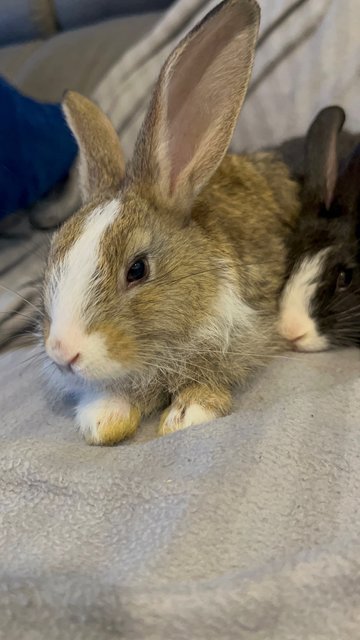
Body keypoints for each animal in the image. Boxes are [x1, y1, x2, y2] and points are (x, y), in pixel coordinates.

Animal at [41, 0, 298, 444]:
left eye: (138, 270)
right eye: (54, 253)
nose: (63, 352)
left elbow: (208, 379)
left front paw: (187, 414)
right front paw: (103, 419)